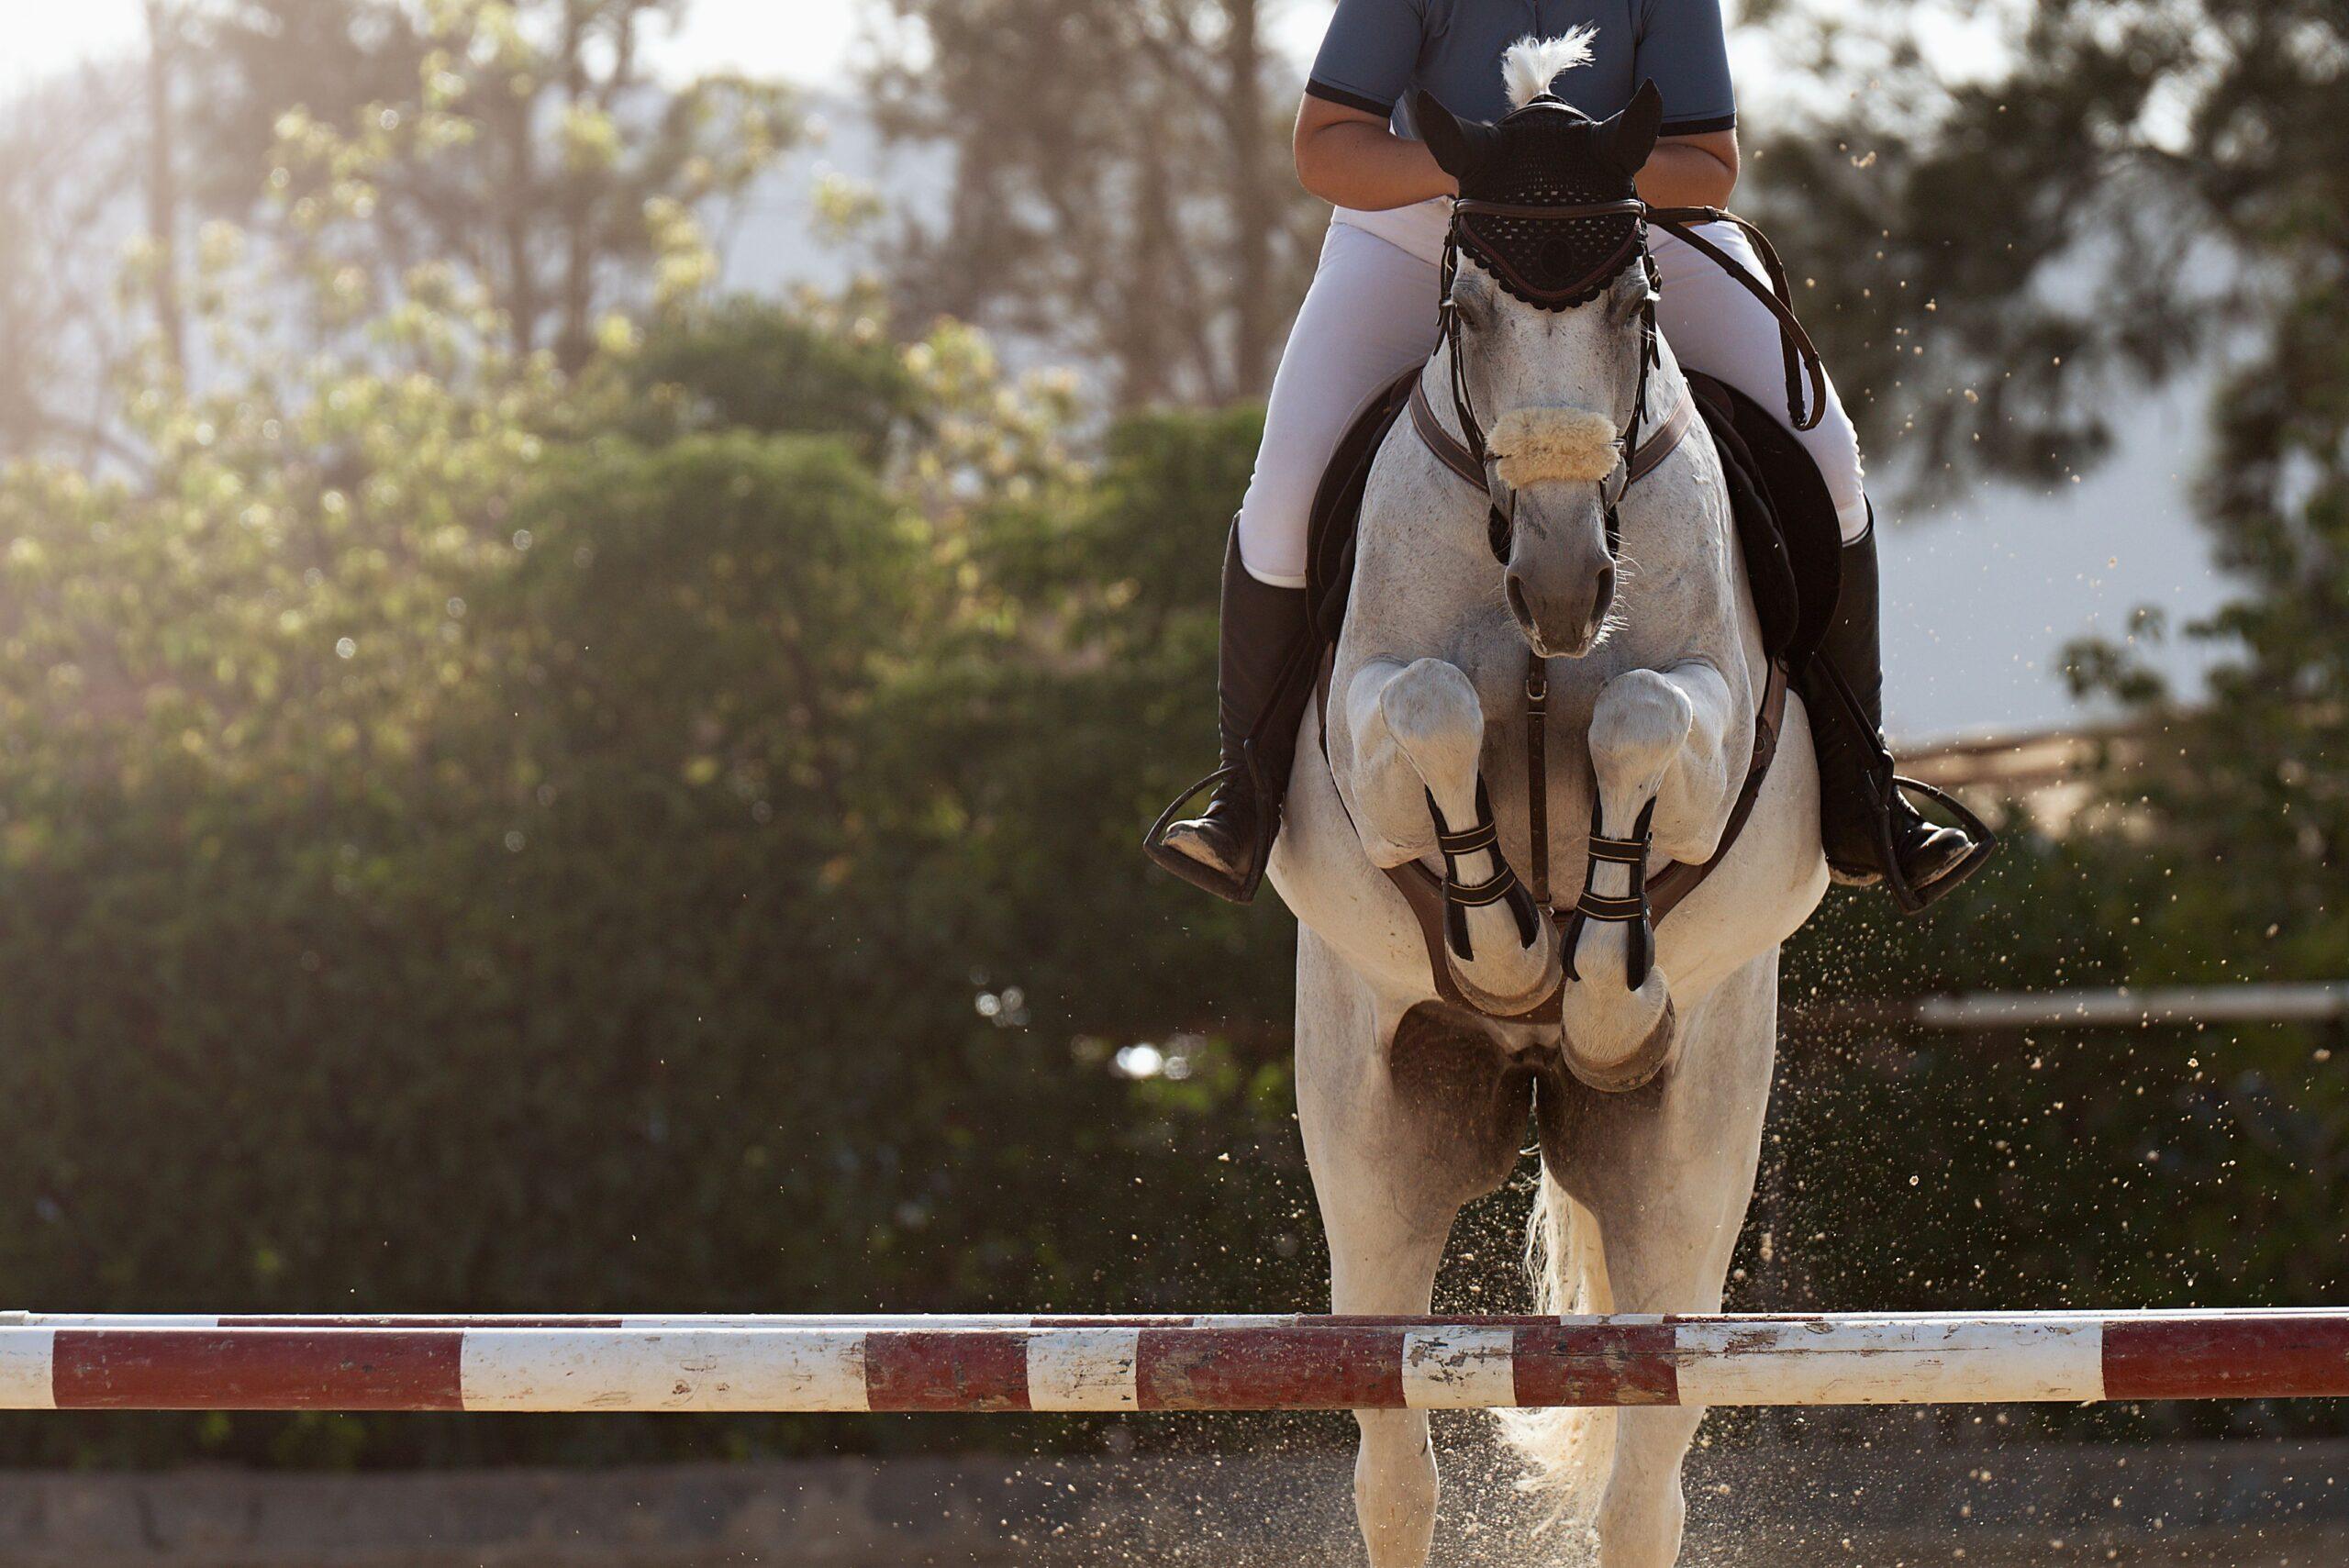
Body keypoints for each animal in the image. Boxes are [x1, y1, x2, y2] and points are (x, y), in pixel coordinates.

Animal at [1265, 47, 1831, 1568]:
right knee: (1392, 1463)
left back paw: (1602, 1014)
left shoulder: (1717, 711)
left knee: (1647, 1478)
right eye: (1467, 312)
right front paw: (1510, 944)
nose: (1569, 582)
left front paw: (1599, 978)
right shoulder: (1363, 727)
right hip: (1372, 1142)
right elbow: (1433, 708)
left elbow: (1640, 715)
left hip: (1685, 1171)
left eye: (1635, 308)